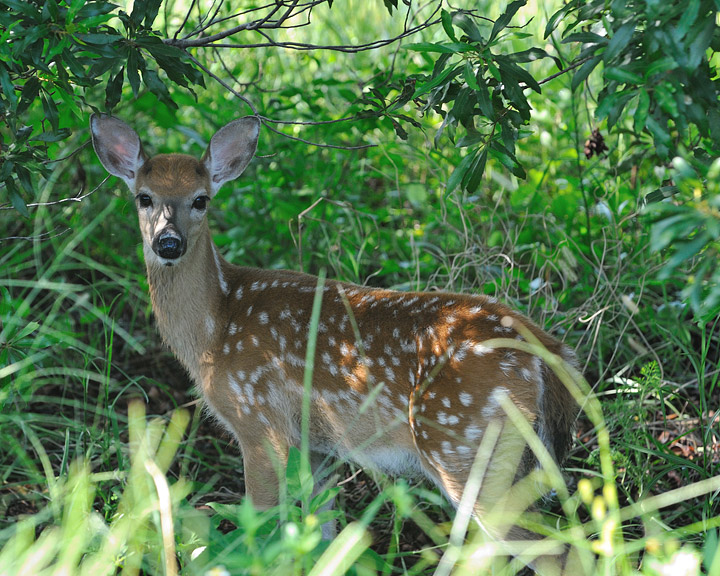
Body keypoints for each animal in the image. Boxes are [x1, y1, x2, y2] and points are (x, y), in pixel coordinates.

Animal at [90, 114, 583, 575]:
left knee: (554, 552)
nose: (168, 243)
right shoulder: (319, 444)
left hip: (465, 444)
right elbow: (322, 533)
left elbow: (261, 525)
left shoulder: (258, 419)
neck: (215, 326)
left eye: (201, 199)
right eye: (144, 197)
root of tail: (545, 350)